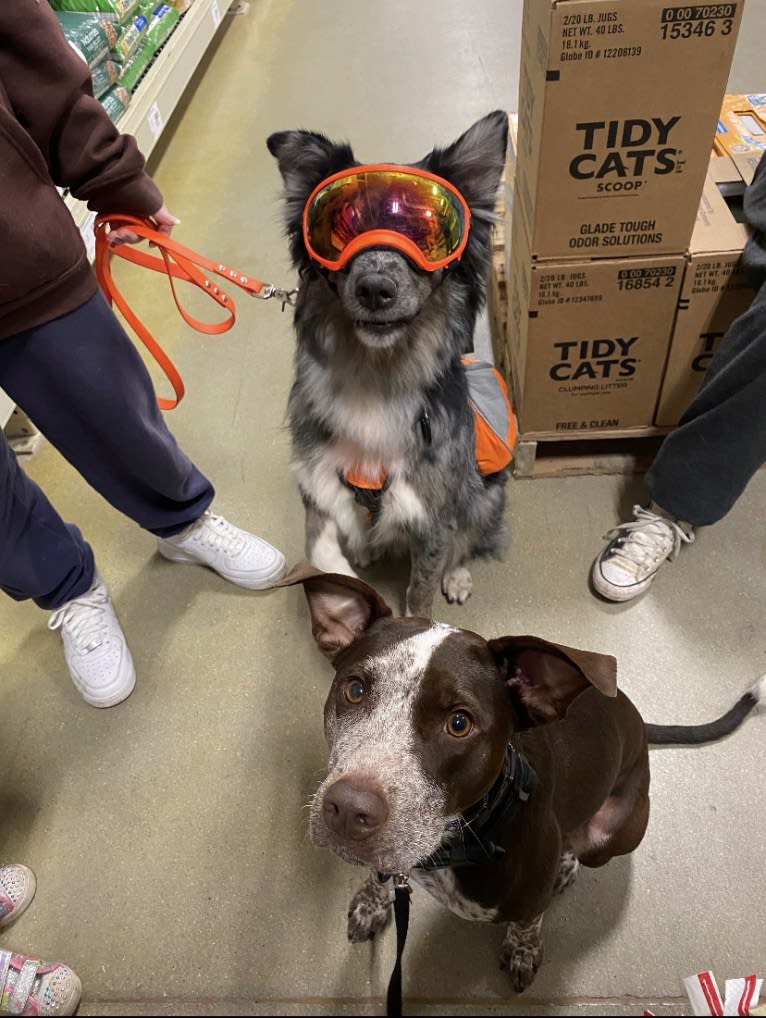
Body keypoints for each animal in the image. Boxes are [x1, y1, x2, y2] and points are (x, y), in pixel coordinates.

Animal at [281, 566, 766, 993]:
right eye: (355, 690)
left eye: (460, 723)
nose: (347, 811)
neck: (458, 841)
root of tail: (640, 725)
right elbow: (380, 873)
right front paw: (372, 900)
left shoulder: (530, 896)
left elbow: (529, 920)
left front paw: (523, 949)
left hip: (612, 833)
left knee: (581, 846)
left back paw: (566, 866)